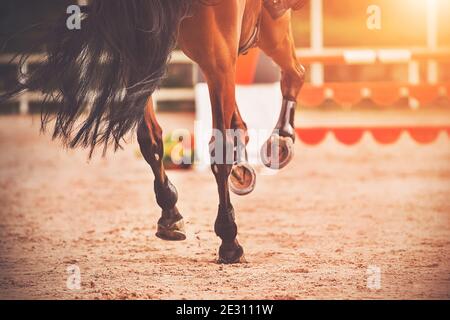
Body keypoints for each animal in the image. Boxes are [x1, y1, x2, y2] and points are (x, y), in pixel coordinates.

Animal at [2, 0, 306, 264]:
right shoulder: (142, 50)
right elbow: (151, 139)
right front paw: (172, 214)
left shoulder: (211, 54)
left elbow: (205, 146)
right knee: (282, 83)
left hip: (250, 37)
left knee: (293, 73)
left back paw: (274, 145)